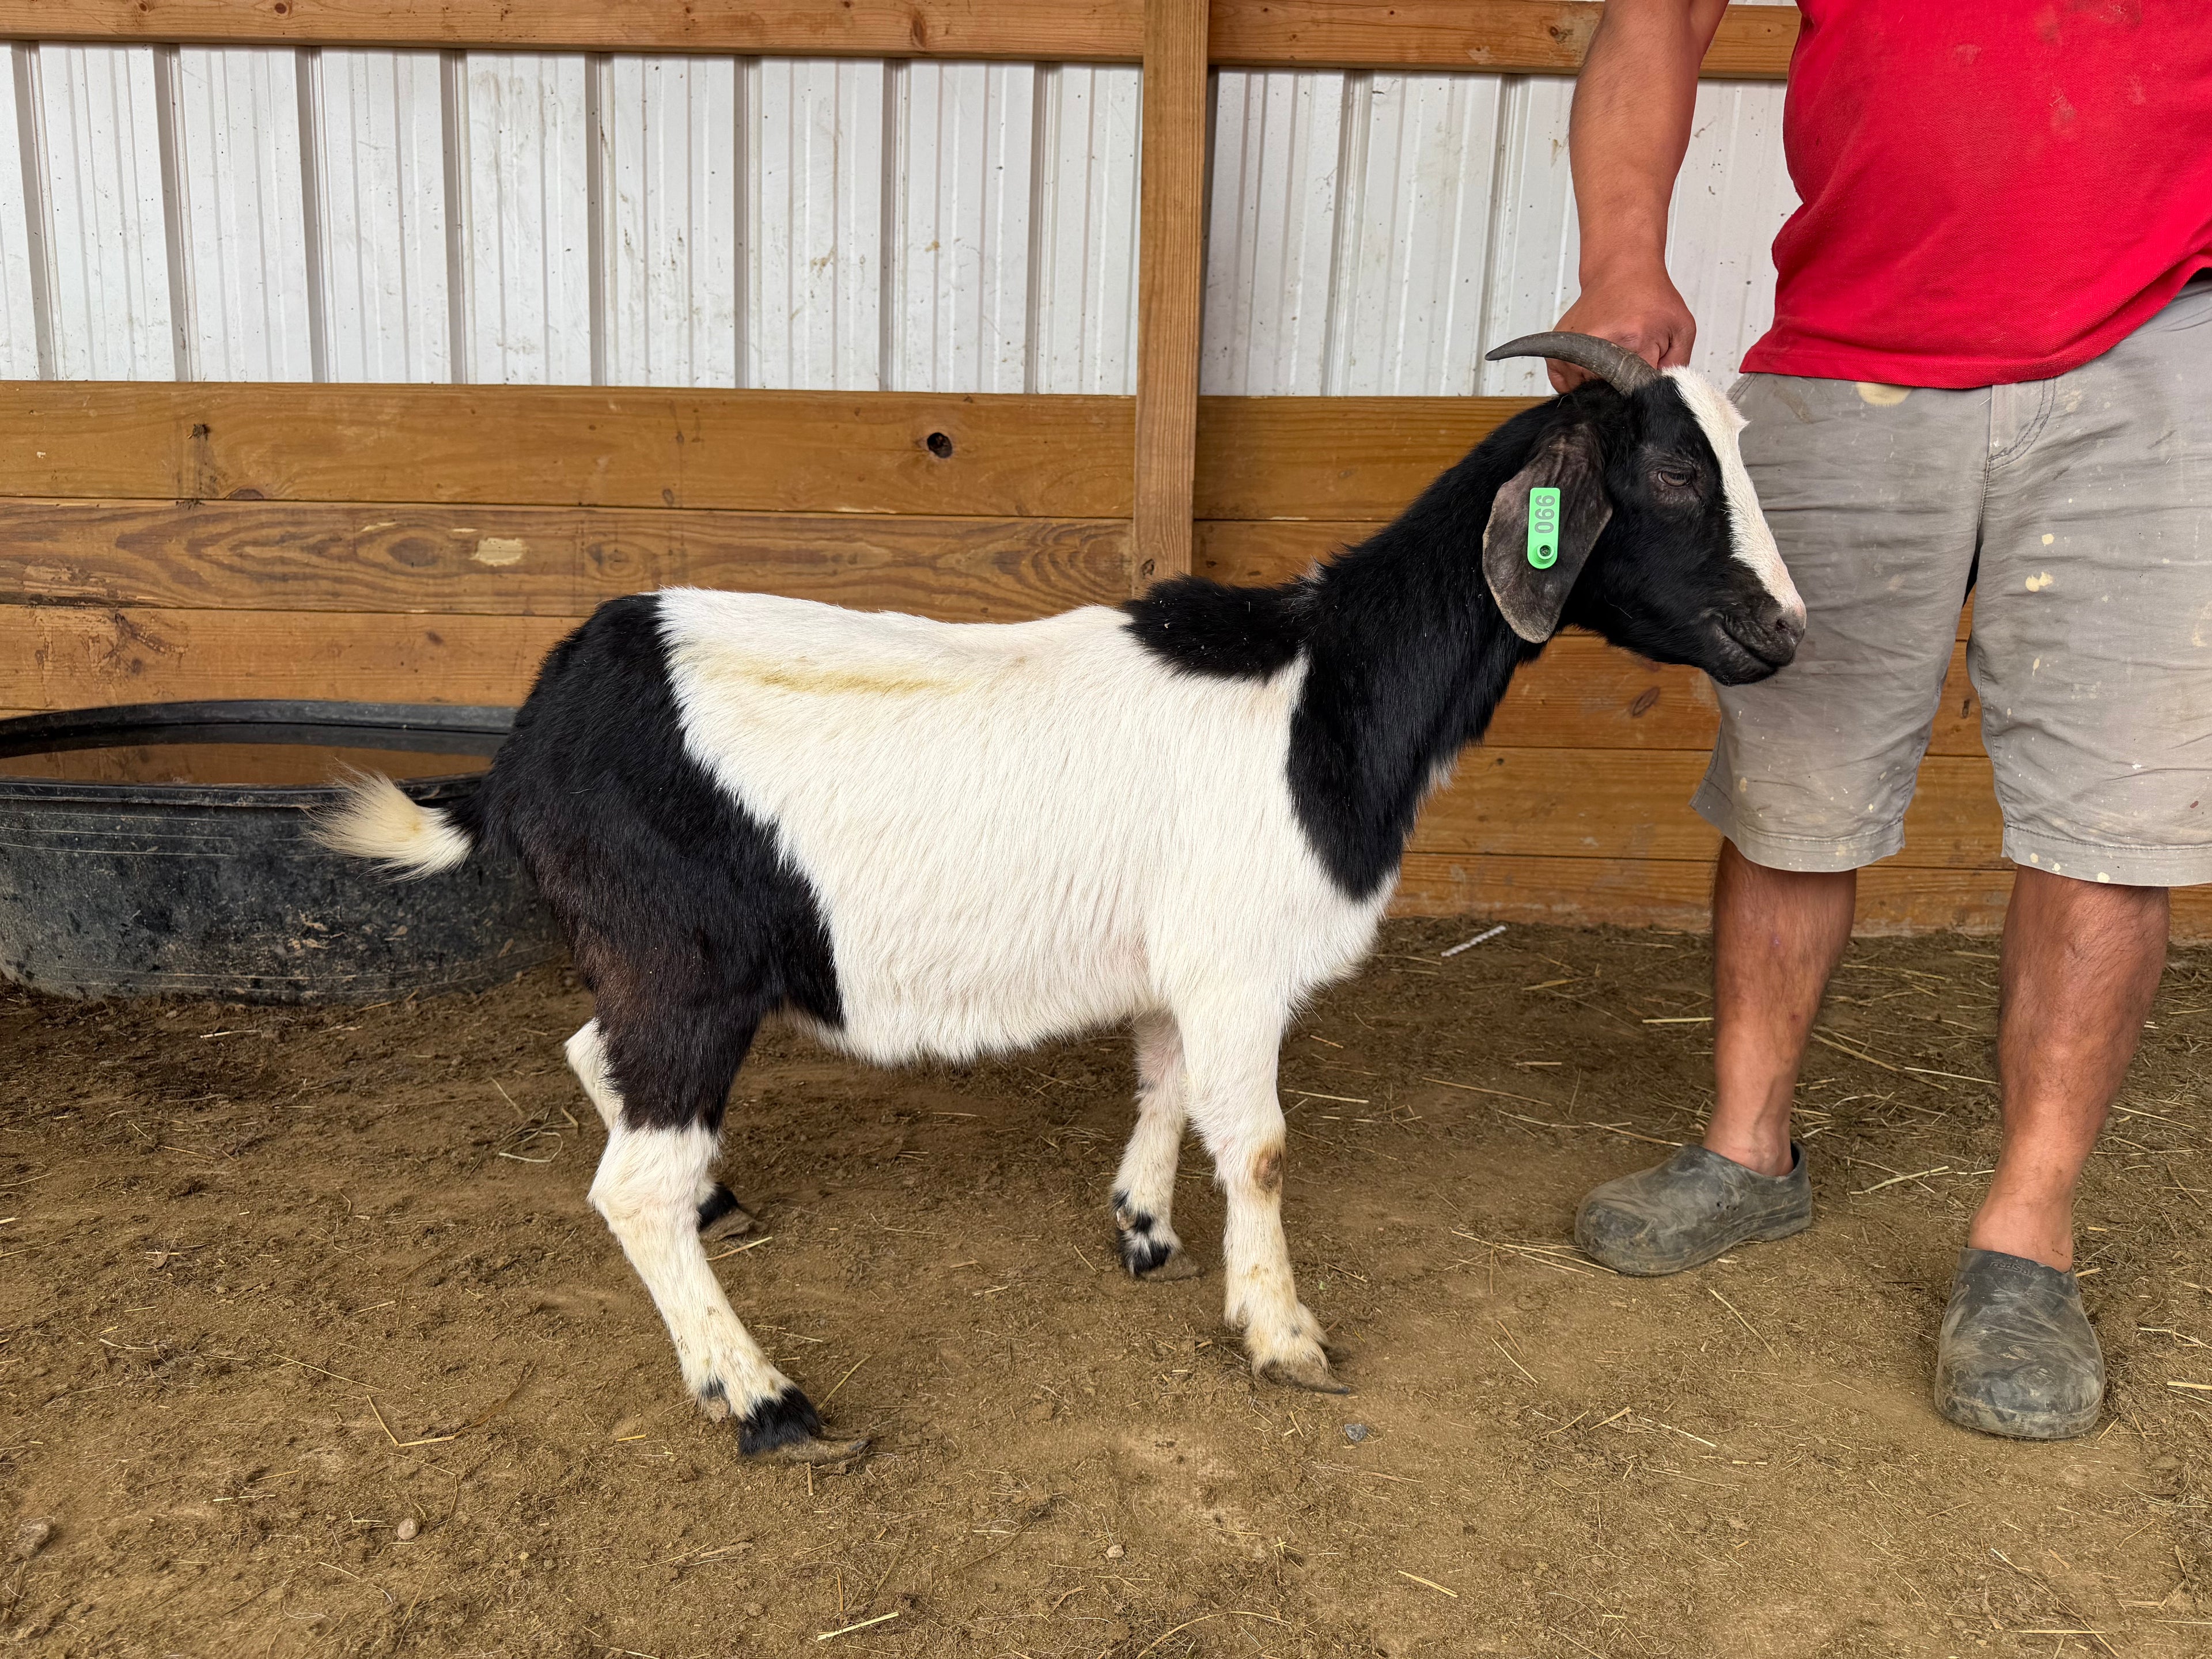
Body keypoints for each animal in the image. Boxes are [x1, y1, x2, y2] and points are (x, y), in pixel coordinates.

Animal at [318, 334, 1805, 1463]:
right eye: (1675, 471)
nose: (1784, 634)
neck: (1320, 688)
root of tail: (532, 733)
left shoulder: (1176, 961)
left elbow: (1162, 1084)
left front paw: (1143, 1226)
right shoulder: (1236, 962)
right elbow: (1260, 1145)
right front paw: (1282, 1334)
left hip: (645, 967)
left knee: (599, 1067)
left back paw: (723, 1207)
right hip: (680, 964)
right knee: (633, 1184)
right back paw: (761, 1398)